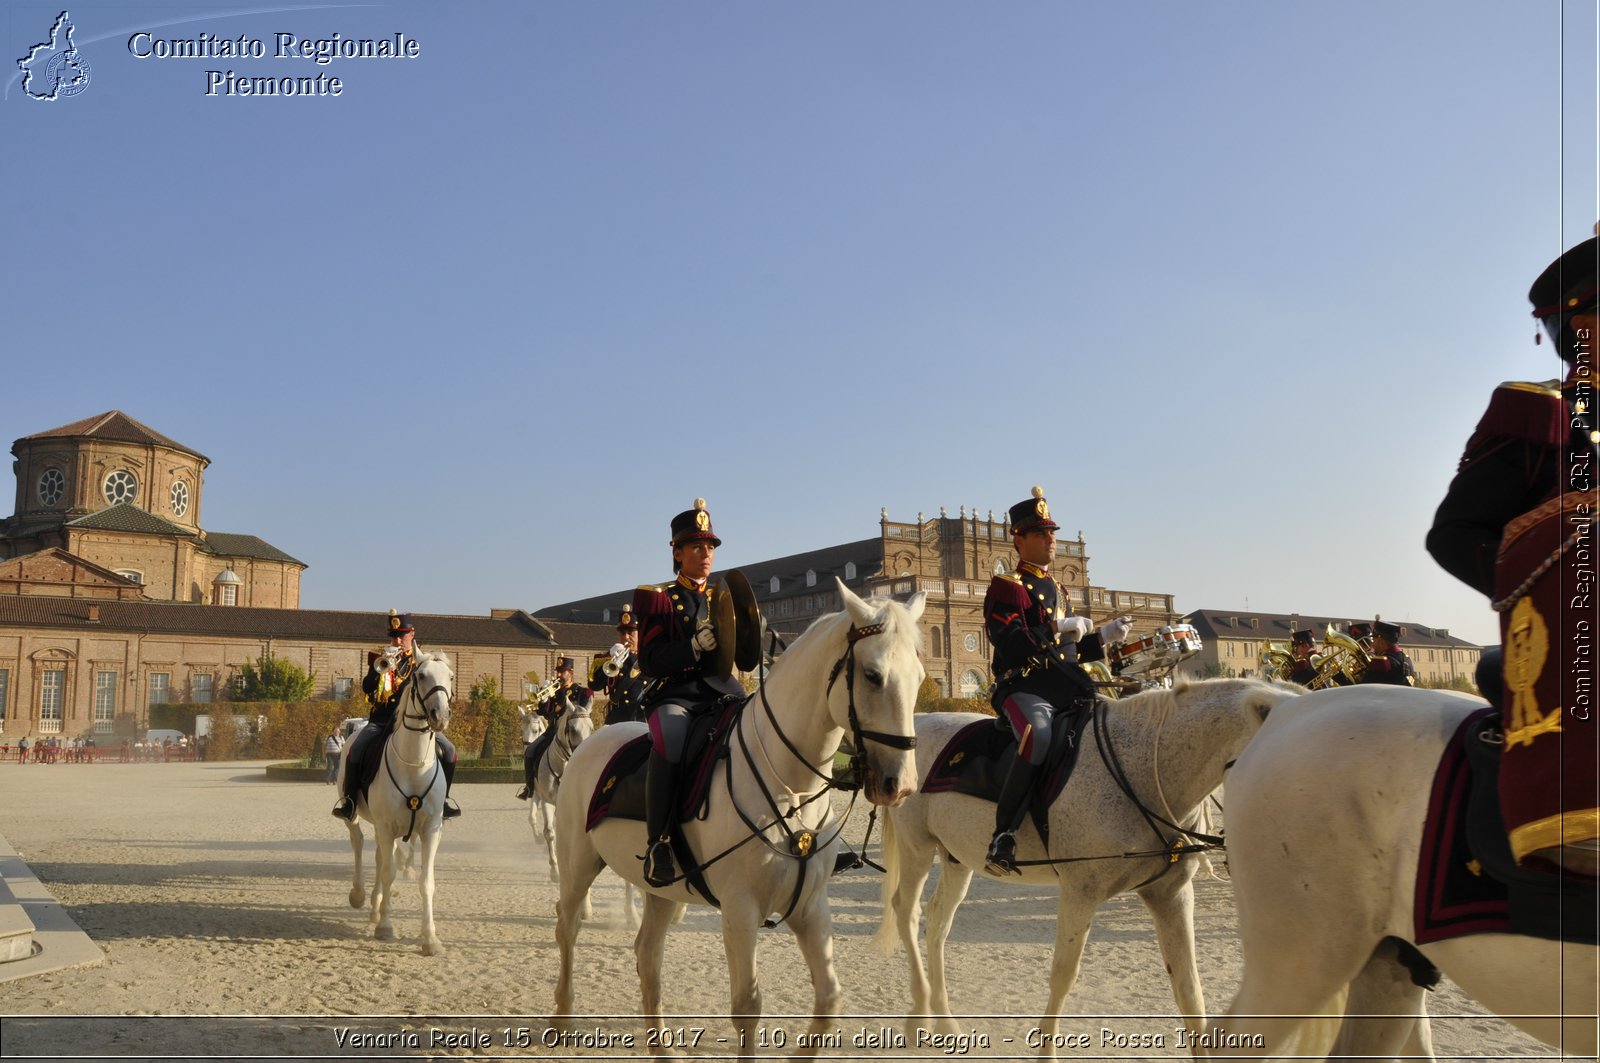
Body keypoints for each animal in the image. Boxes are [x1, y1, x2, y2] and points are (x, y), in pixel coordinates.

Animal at [336, 653, 454, 960]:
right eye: (421, 676)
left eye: (450, 676)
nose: (440, 716)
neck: (414, 765)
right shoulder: (387, 827)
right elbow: (389, 873)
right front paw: (386, 927)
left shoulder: (430, 830)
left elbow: (426, 881)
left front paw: (430, 938)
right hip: (355, 815)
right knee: (358, 842)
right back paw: (359, 895)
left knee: (379, 857)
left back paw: (375, 906)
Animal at [553, 582, 928, 1056]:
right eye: (873, 675)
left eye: (920, 678)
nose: (902, 783)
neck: (793, 787)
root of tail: (594, 740)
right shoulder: (740, 908)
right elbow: (748, 1005)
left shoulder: (810, 906)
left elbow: (829, 999)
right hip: (578, 866)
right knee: (567, 927)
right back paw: (563, 1016)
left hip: (661, 890)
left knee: (647, 954)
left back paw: (662, 1049)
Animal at [876, 675, 1299, 1050]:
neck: (1143, 769)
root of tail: (920, 720)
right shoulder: (1080, 892)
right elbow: (1063, 975)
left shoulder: (1171, 895)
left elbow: (1189, 990)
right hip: (917, 849)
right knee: (907, 912)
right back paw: (919, 1015)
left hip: (957, 858)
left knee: (937, 922)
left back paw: (944, 1018)